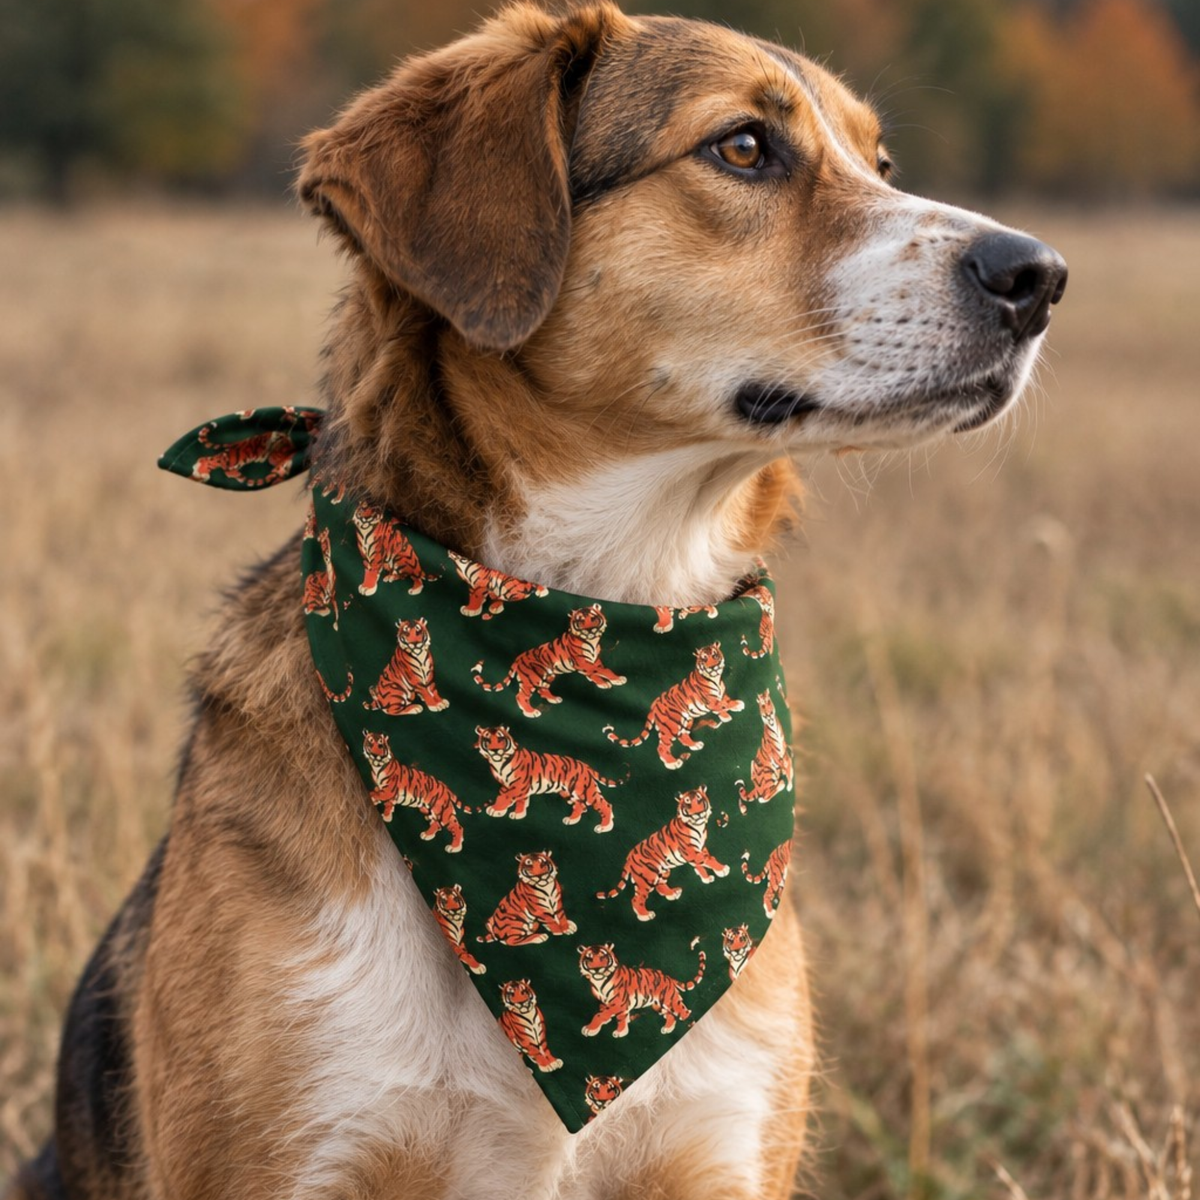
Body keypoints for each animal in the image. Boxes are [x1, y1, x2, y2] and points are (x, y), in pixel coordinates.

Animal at [472, 605, 626, 719]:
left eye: (593, 618)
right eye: (580, 621)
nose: (589, 630)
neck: (592, 641)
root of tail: (518, 657)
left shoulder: (592, 661)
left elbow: (596, 672)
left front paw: (604, 683)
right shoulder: (582, 662)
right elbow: (603, 670)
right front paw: (617, 679)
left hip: (548, 675)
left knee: (542, 689)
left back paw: (553, 699)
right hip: (532, 677)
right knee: (521, 696)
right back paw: (531, 712)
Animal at [474, 725, 623, 833]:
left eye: (500, 739)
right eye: (487, 740)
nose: (494, 750)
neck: (499, 763)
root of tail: (584, 765)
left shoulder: (518, 785)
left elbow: (505, 797)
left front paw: (495, 809)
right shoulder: (512, 786)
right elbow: (518, 800)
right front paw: (518, 814)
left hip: (584, 790)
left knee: (604, 805)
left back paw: (604, 827)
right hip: (567, 792)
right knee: (580, 805)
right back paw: (571, 820)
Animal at [597, 786, 728, 921]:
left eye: (699, 798)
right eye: (687, 801)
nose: (697, 813)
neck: (699, 826)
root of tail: (629, 857)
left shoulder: (700, 849)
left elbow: (701, 865)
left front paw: (707, 878)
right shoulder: (691, 852)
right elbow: (708, 859)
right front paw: (723, 869)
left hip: (662, 870)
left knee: (660, 886)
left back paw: (673, 893)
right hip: (647, 877)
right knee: (636, 899)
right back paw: (645, 915)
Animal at [604, 642, 744, 769]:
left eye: (715, 655)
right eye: (704, 658)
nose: (714, 667)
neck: (715, 679)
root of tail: (654, 705)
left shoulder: (721, 694)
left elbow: (725, 701)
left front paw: (733, 707)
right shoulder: (711, 701)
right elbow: (722, 705)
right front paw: (733, 709)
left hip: (686, 720)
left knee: (683, 735)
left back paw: (694, 745)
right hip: (671, 725)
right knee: (662, 747)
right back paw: (673, 763)